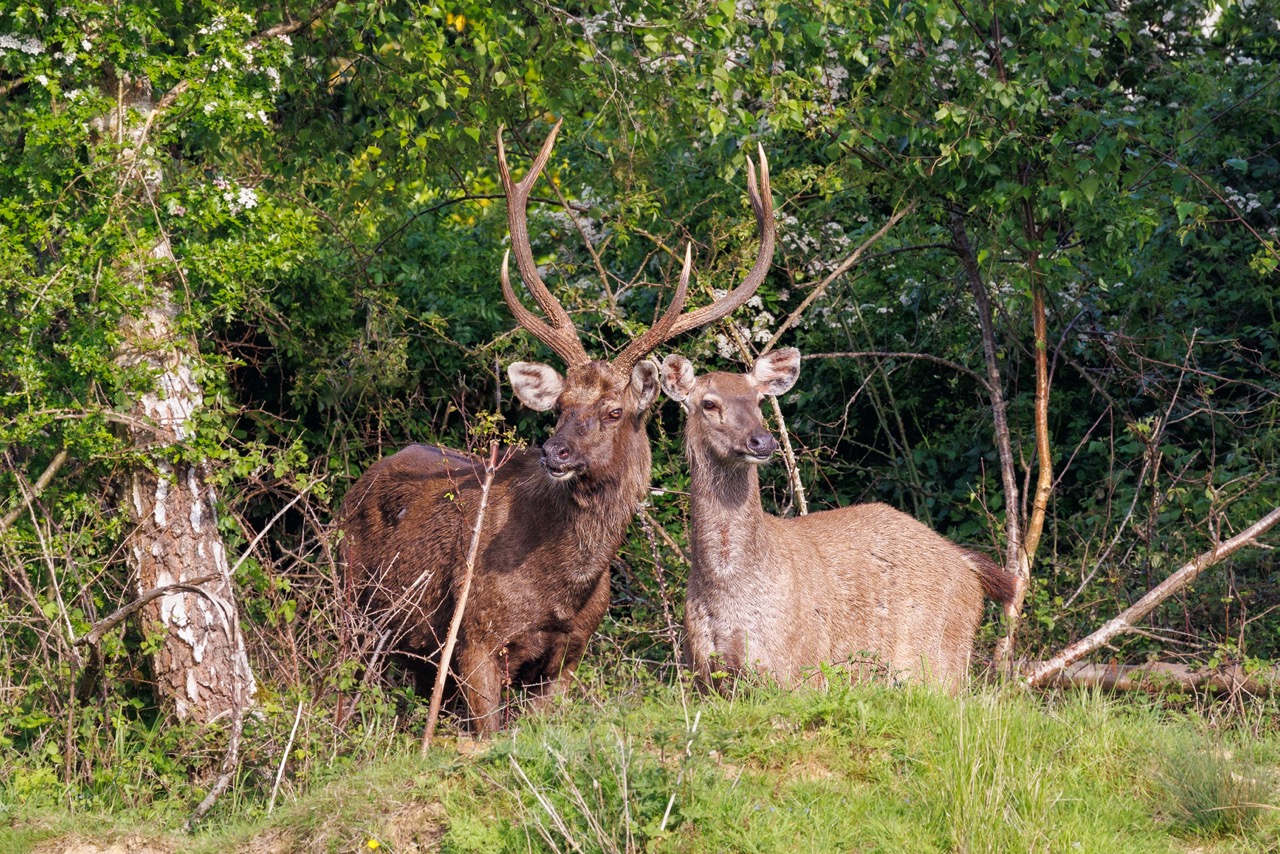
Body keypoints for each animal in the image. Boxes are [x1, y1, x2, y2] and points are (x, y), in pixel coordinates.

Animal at [340, 121, 773, 737]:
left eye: (615, 411)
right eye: (560, 405)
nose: (556, 452)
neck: (562, 588)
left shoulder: (571, 651)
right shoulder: (474, 638)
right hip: (350, 600)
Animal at [660, 350, 1018, 691]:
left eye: (759, 399)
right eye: (708, 403)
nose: (762, 440)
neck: (728, 594)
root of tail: (965, 563)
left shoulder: (800, 670)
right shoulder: (703, 677)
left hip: (941, 659)